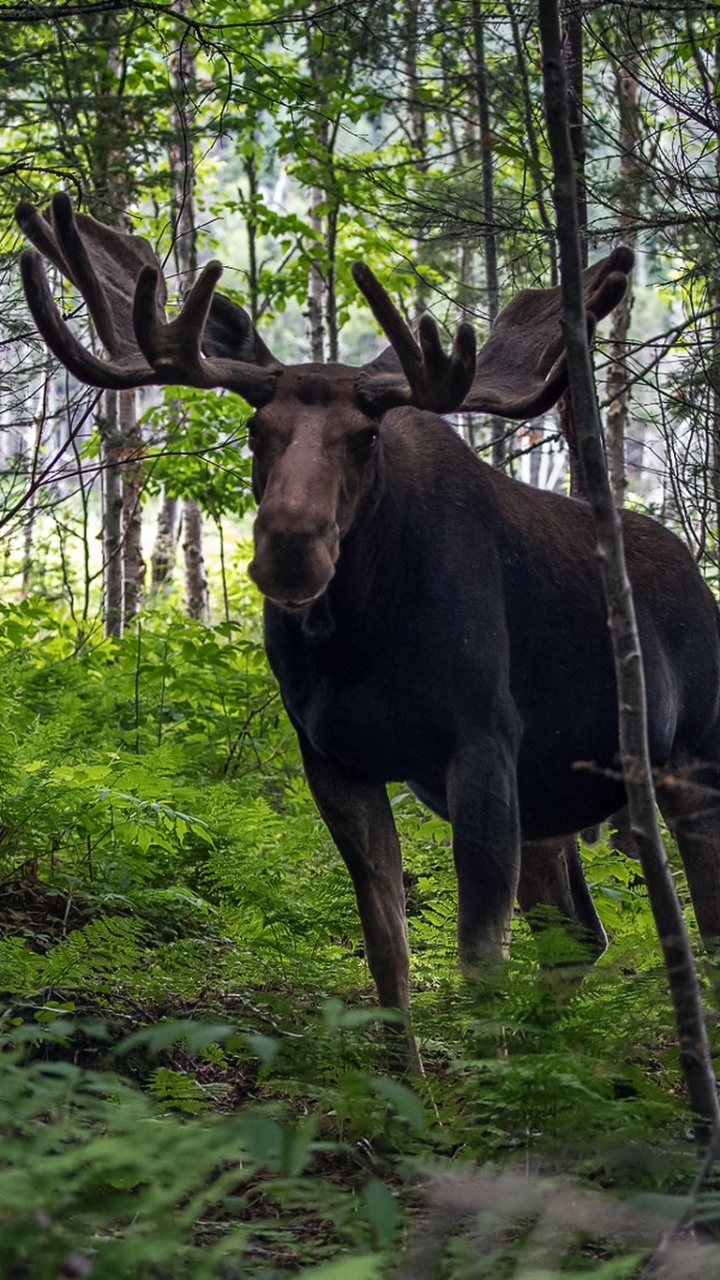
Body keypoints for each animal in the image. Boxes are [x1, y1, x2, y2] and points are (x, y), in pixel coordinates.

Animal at [16, 193, 720, 1069]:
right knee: (579, 937)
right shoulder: (334, 758)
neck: (358, 638)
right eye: (257, 430)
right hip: (557, 803)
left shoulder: (483, 746)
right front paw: (415, 1090)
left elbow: (477, 958)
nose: (290, 543)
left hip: (692, 761)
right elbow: (389, 950)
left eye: (368, 436)